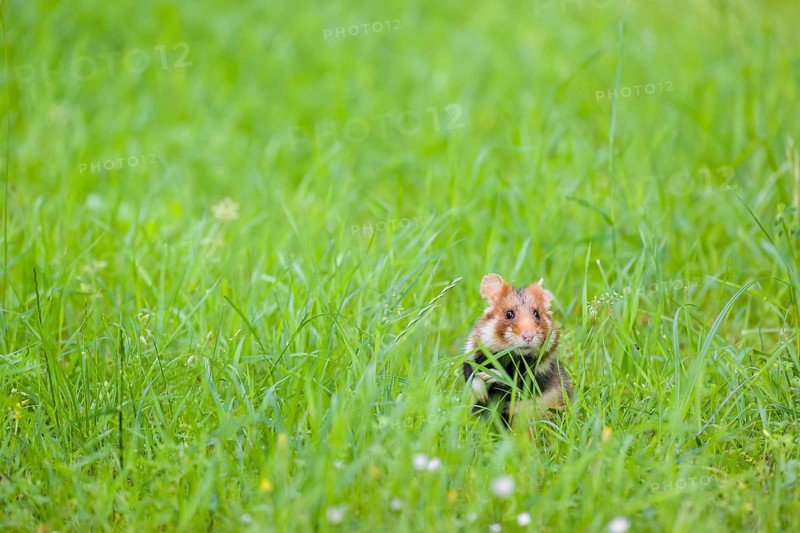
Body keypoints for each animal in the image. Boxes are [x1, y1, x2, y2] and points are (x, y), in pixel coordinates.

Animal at [462, 273, 572, 428]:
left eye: (537, 314)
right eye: (509, 314)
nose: (528, 336)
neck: (512, 355)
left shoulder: (538, 374)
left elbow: (516, 382)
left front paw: (491, 375)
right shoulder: (472, 355)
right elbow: (471, 374)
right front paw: (483, 395)